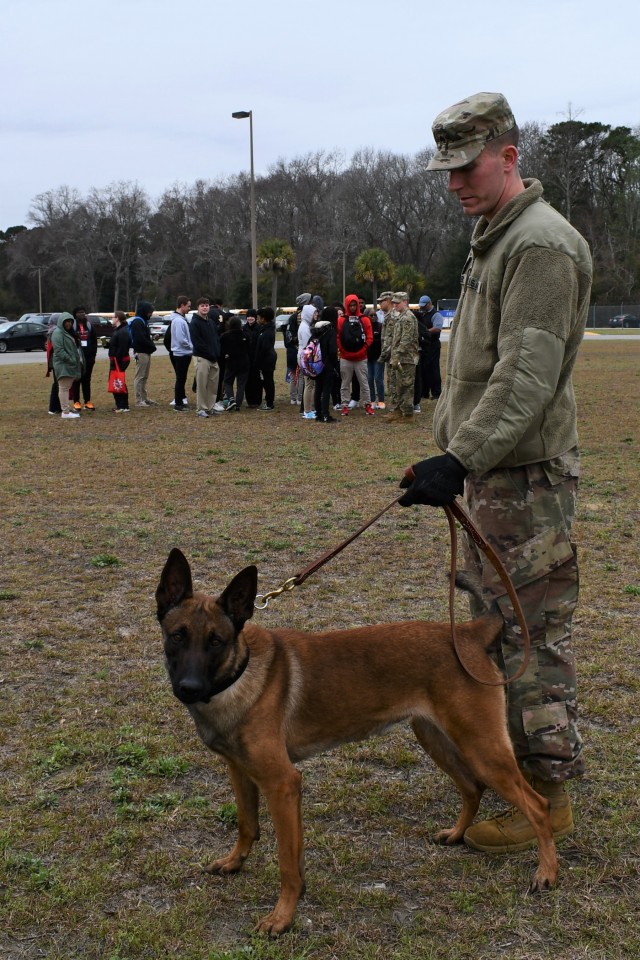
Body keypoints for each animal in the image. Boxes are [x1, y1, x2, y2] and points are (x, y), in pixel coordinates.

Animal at [155, 552, 556, 932]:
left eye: (216, 641)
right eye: (177, 636)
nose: (188, 688)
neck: (240, 673)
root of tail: (469, 633)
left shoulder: (282, 784)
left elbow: (287, 862)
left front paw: (282, 918)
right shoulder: (240, 772)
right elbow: (247, 826)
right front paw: (234, 863)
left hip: (482, 748)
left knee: (537, 805)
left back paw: (547, 873)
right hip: (435, 737)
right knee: (472, 788)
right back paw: (457, 834)